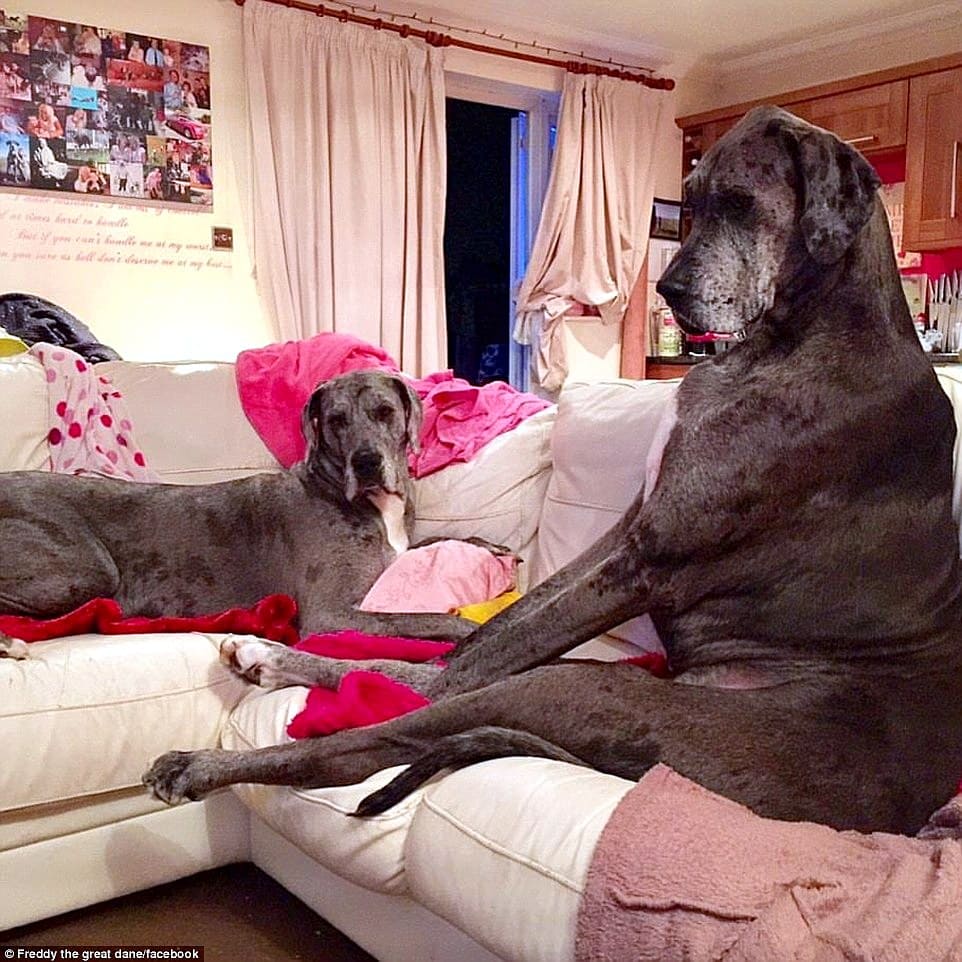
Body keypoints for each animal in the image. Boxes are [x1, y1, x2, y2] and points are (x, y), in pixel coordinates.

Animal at [0, 369, 474, 658]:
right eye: (336, 420)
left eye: (385, 412)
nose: (367, 463)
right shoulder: (332, 614)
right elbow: (431, 618)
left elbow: (440, 542)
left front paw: (480, 543)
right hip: (88, 570)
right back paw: (11, 642)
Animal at [144, 106, 962, 836]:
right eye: (689, 205)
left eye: (740, 204)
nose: (668, 293)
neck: (794, 337)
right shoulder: (624, 538)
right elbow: (495, 628)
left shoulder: (648, 559)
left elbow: (460, 665)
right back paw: (268, 656)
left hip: (577, 685)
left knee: (375, 737)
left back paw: (211, 751)